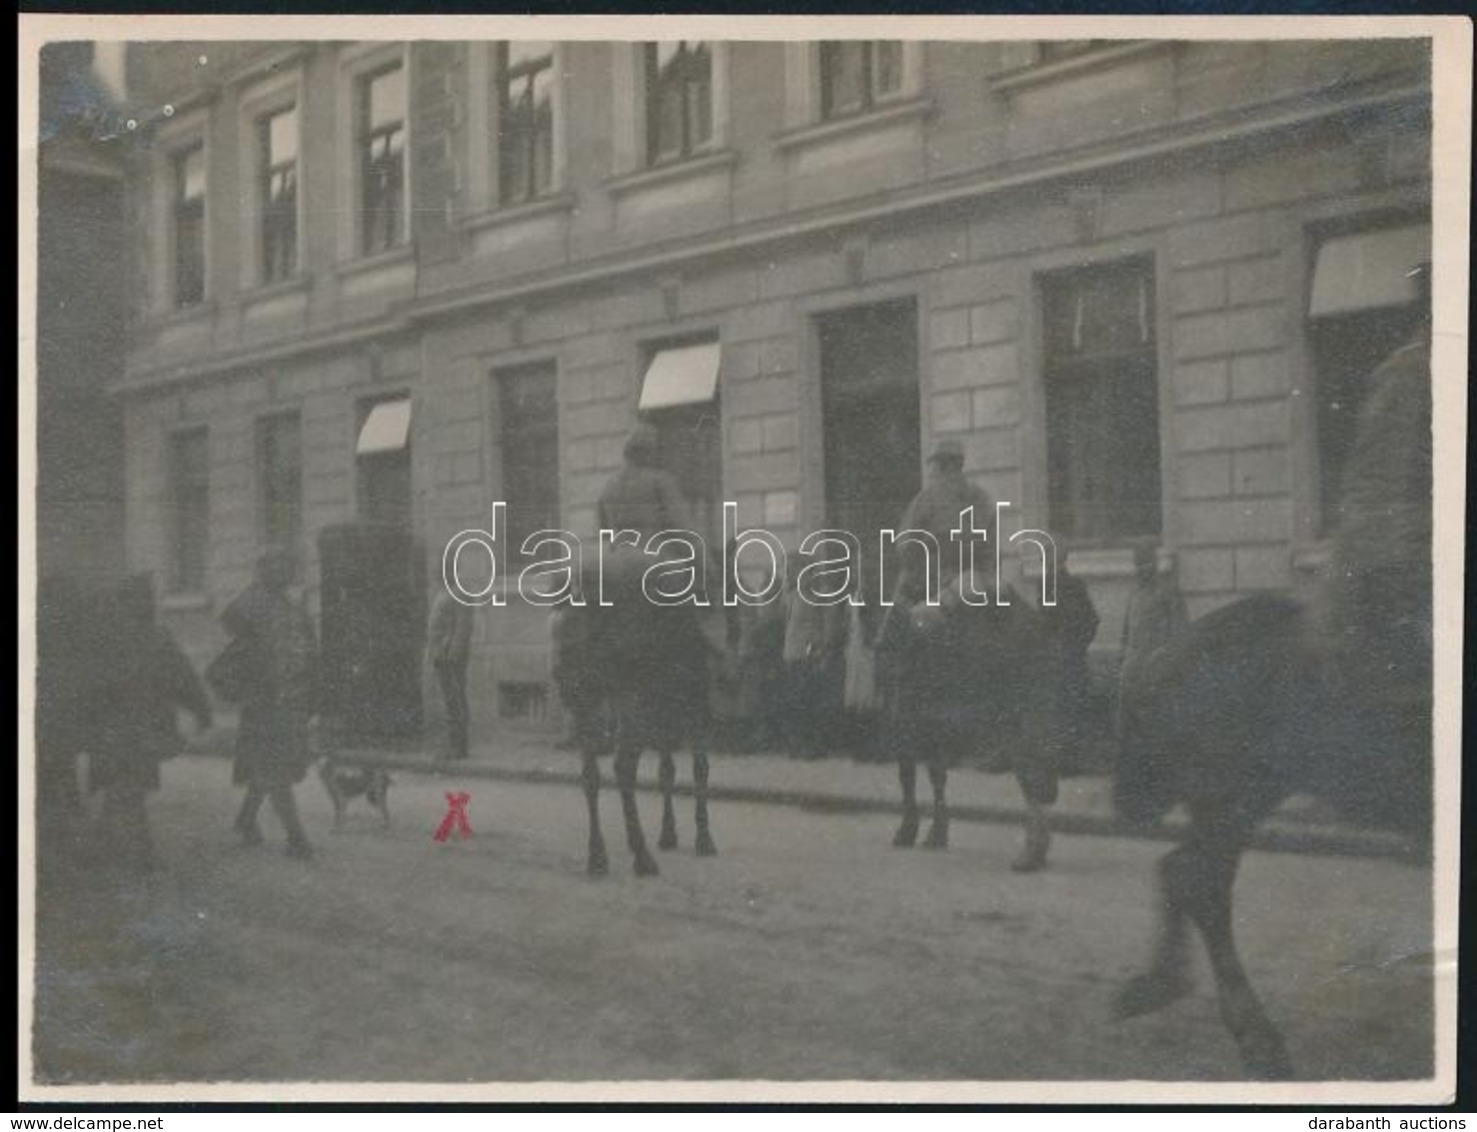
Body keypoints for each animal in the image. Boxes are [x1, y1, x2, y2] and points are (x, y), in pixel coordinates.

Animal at [552, 573, 717, 880]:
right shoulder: (696, 690)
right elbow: (699, 766)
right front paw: (704, 838)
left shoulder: (664, 700)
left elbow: (667, 770)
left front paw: (668, 834)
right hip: (631, 696)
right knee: (624, 767)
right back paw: (642, 858)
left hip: (584, 698)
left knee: (590, 775)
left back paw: (598, 857)